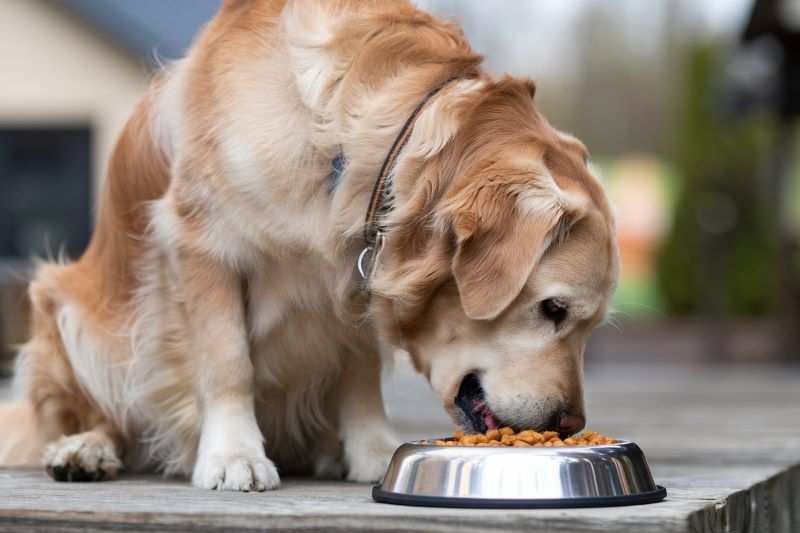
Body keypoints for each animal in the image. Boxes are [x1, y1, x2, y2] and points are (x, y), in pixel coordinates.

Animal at [0, 0, 620, 490]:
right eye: (554, 309)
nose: (569, 424)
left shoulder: (359, 273)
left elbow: (360, 370)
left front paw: (371, 451)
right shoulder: (201, 241)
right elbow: (228, 360)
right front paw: (233, 455)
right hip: (70, 314)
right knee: (95, 413)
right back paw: (84, 449)